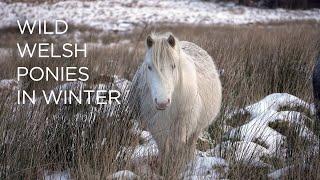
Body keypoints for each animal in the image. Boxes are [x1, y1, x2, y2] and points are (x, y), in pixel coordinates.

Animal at [131, 32, 221, 173]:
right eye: (149, 67)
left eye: (173, 66)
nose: (162, 102)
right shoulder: (157, 125)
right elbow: (163, 148)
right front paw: (164, 169)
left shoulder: (182, 125)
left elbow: (177, 147)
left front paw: (175, 168)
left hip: (196, 128)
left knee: (190, 144)